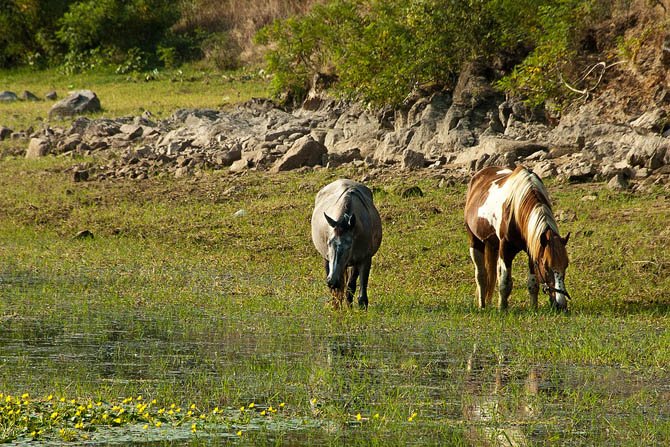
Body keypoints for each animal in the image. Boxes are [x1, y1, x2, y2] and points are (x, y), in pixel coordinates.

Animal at [468, 165, 572, 312]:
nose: (561, 304)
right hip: (475, 241)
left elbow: (533, 283)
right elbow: (505, 282)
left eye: (566, 265)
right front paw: (502, 309)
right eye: (546, 267)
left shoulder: (533, 250)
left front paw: (534, 308)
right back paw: (482, 305)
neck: (516, 212)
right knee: (481, 276)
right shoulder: (505, 250)